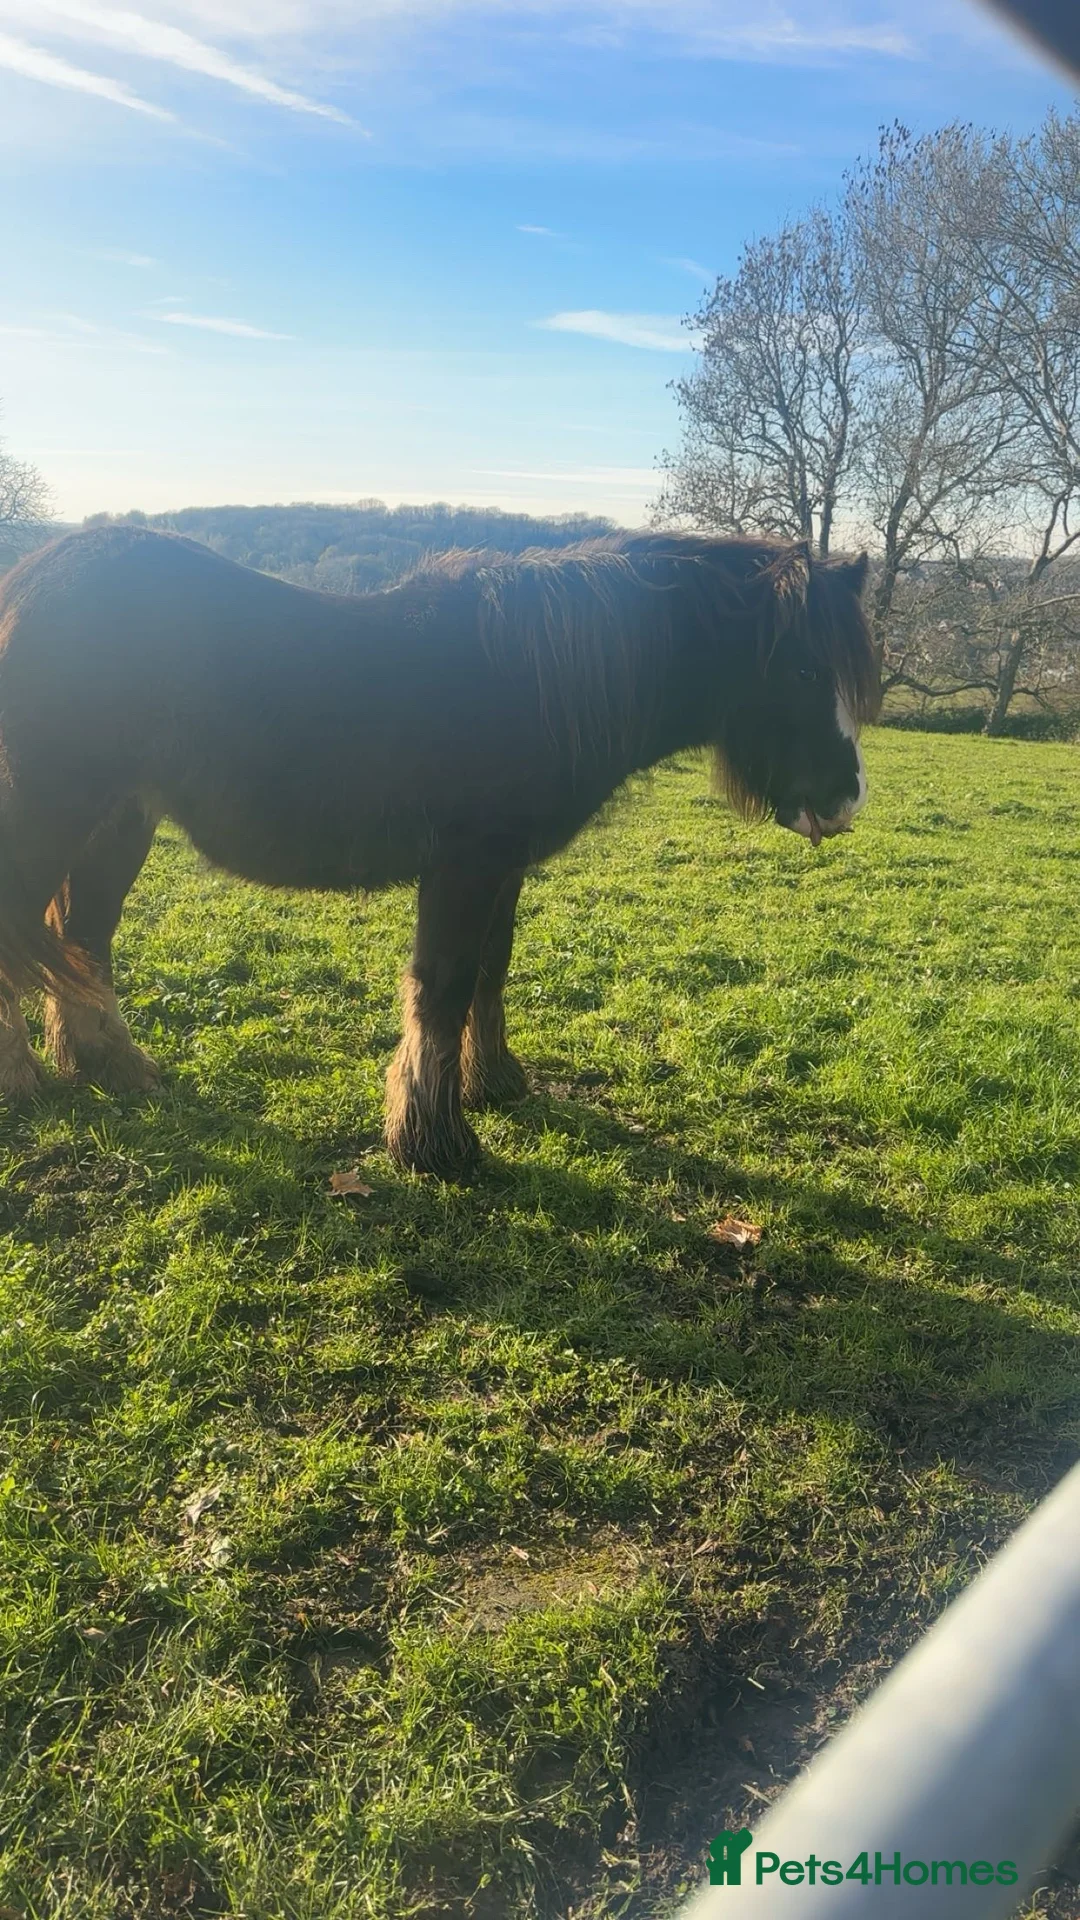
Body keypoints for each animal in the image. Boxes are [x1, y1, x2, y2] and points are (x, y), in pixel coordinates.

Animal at [0, 525, 877, 1179]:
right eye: (802, 669)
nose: (847, 800)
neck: (536, 678)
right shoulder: (463, 865)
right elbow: (445, 986)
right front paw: (434, 1141)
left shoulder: (505, 866)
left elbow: (492, 970)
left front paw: (492, 1086)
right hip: (54, 815)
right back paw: (25, 1082)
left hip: (117, 823)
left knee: (81, 939)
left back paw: (110, 1067)